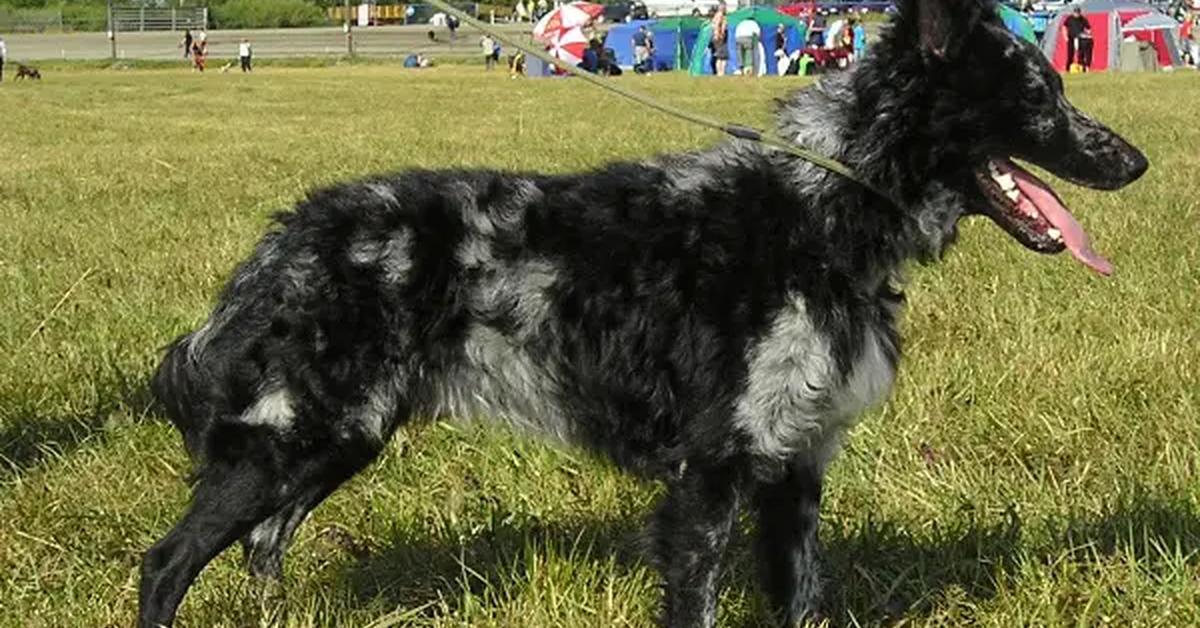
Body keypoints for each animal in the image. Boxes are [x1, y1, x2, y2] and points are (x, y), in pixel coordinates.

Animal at [136, 1, 1147, 628]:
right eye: (1039, 96)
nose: (1136, 160)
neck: (819, 208)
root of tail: (292, 233)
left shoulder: (795, 465)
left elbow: (801, 598)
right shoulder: (711, 474)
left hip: (333, 439)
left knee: (264, 542)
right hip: (292, 439)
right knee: (168, 563)